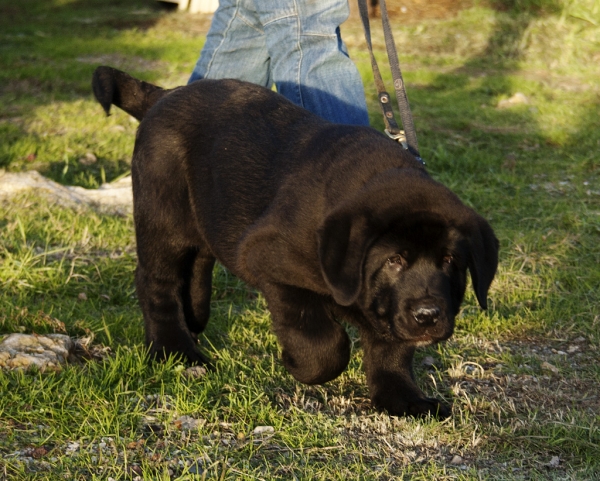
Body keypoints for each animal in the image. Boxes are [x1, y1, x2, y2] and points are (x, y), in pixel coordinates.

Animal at [92, 66, 496, 416]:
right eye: (394, 260)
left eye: (450, 262)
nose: (428, 316)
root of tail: (165, 94)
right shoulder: (270, 262)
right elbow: (323, 346)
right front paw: (296, 362)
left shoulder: (388, 310)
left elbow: (392, 351)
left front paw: (404, 400)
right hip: (165, 217)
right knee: (156, 281)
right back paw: (174, 351)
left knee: (197, 264)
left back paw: (192, 318)